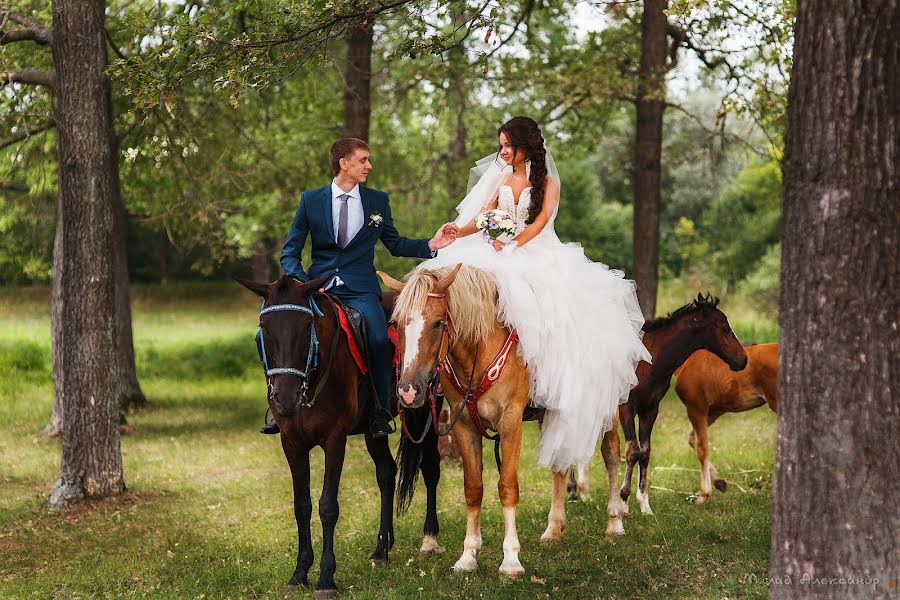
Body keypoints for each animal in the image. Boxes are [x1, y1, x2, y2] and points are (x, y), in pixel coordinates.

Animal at [236, 276, 440, 596]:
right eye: (264, 328)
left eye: (307, 326)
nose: (285, 398)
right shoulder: (291, 442)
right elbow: (302, 505)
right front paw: (299, 573)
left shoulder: (335, 440)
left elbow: (327, 506)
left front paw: (325, 578)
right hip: (373, 430)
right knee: (386, 472)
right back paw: (382, 548)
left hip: (426, 410)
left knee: (430, 469)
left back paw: (430, 539)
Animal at [382, 266, 548, 576]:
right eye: (396, 323)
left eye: (438, 323)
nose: (409, 391)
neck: (479, 352)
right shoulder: (463, 427)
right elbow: (473, 488)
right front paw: (468, 556)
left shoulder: (511, 423)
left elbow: (508, 487)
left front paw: (511, 560)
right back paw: (554, 530)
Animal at [568, 294, 744, 528]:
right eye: (723, 328)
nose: (743, 360)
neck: (649, 361)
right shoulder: (626, 408)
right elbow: (632, 451)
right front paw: (624, 502)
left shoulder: (650, 409)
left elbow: (645, 451)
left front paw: (644, 505)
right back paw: (573, 490)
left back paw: (582, 492)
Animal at [680, 342, 776, 502]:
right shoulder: (714, 410)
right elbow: (693, 439)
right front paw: (719, 483)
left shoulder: (696, 407)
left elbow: (702, 448)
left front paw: (703, 494)